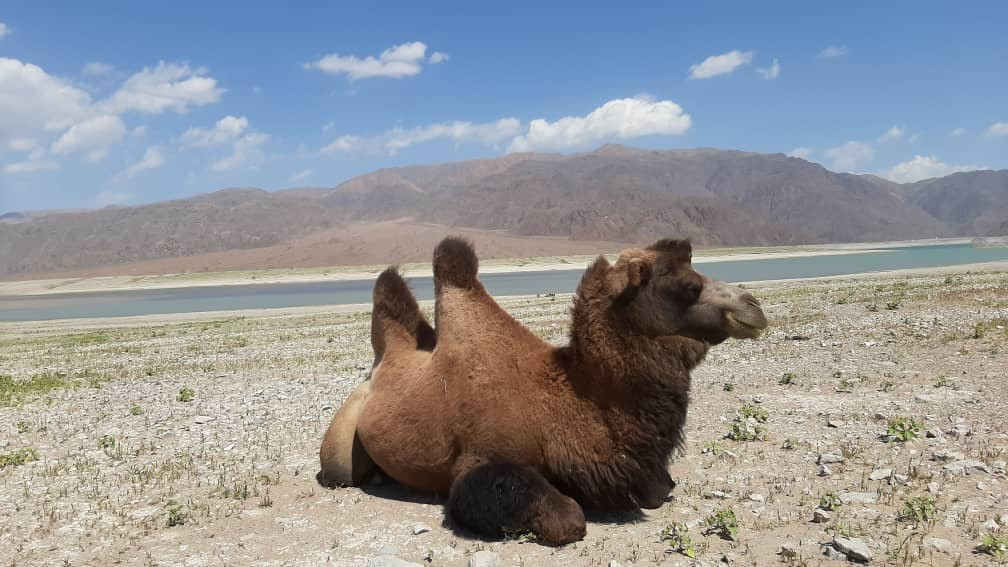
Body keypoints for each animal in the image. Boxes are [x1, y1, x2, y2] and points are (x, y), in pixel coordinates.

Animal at [318, 235, 766, 544]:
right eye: (688, 286)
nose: (754, 306)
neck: (562, 401)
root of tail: (381, 363)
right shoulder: (478, 463)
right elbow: (568, 519)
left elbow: (660, 490)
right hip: (342, 446)